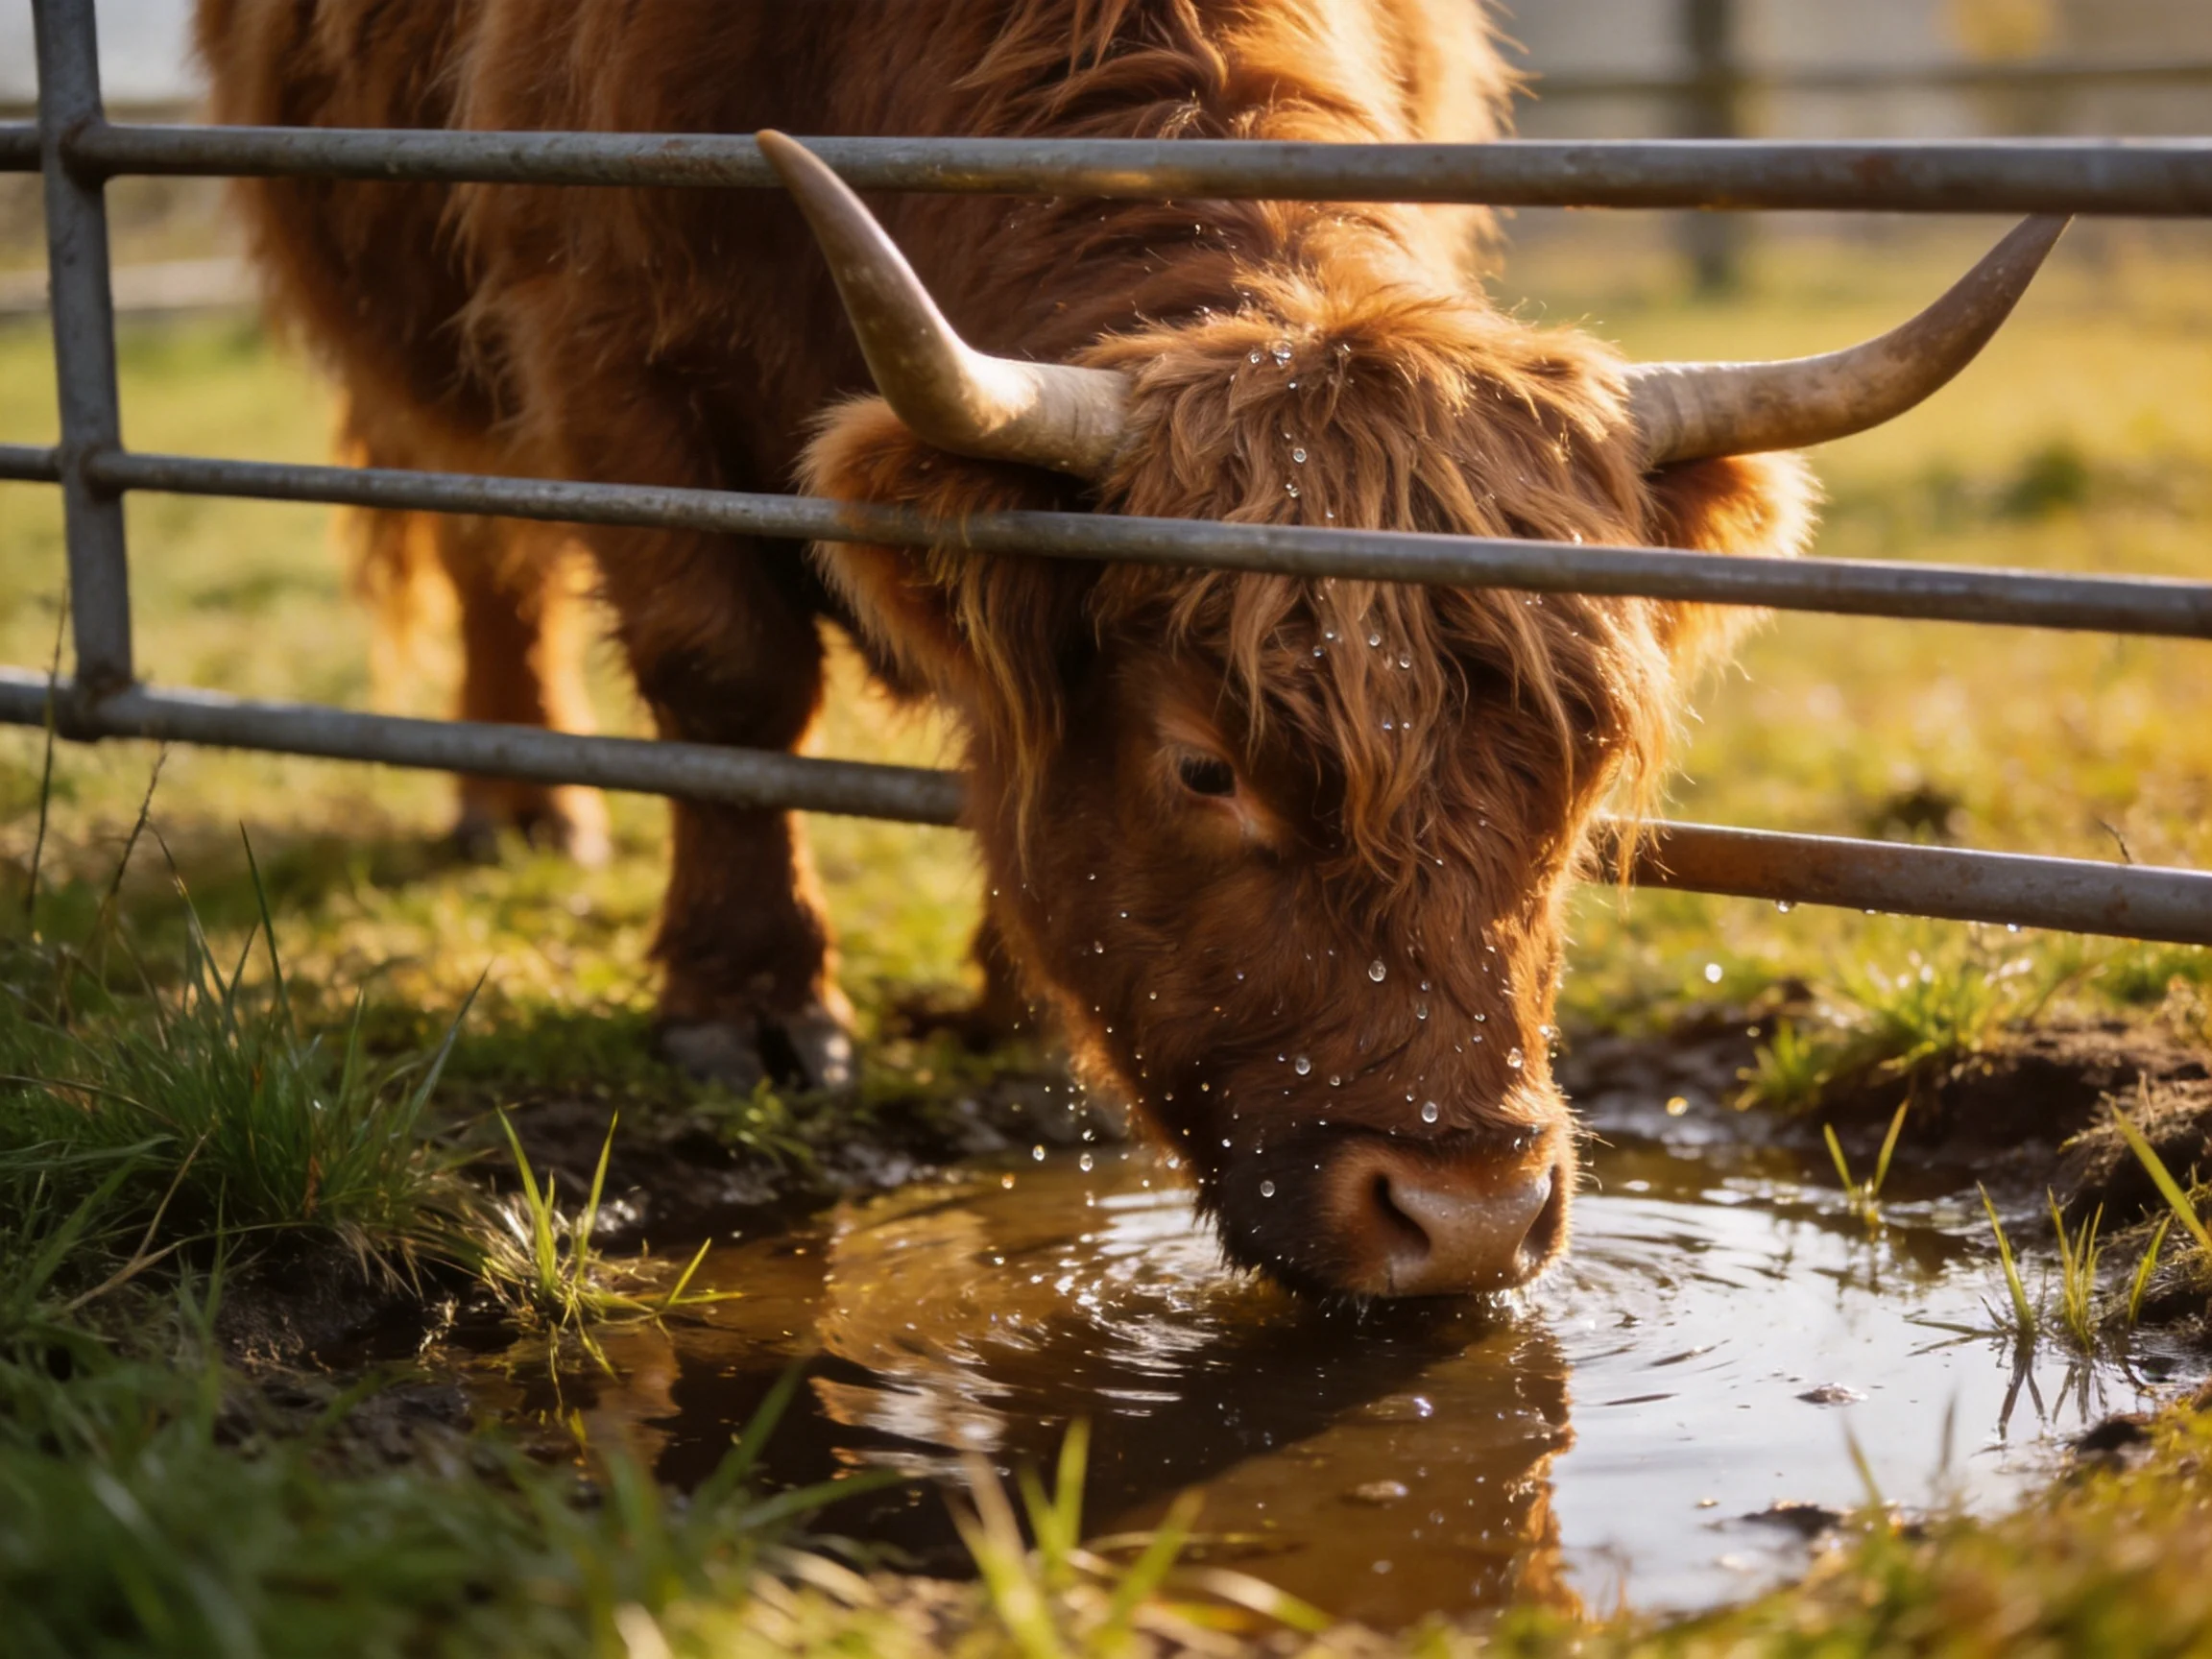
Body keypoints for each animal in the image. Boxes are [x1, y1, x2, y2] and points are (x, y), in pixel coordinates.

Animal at [194, 0, 2057, 1299]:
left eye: (1584, 770)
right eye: (1203, 766)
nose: (1462, 1219)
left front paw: (1015, 993)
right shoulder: (599, 333)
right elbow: (725, 675)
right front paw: (750, 1003)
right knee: (476, 533)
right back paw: (518, 802)